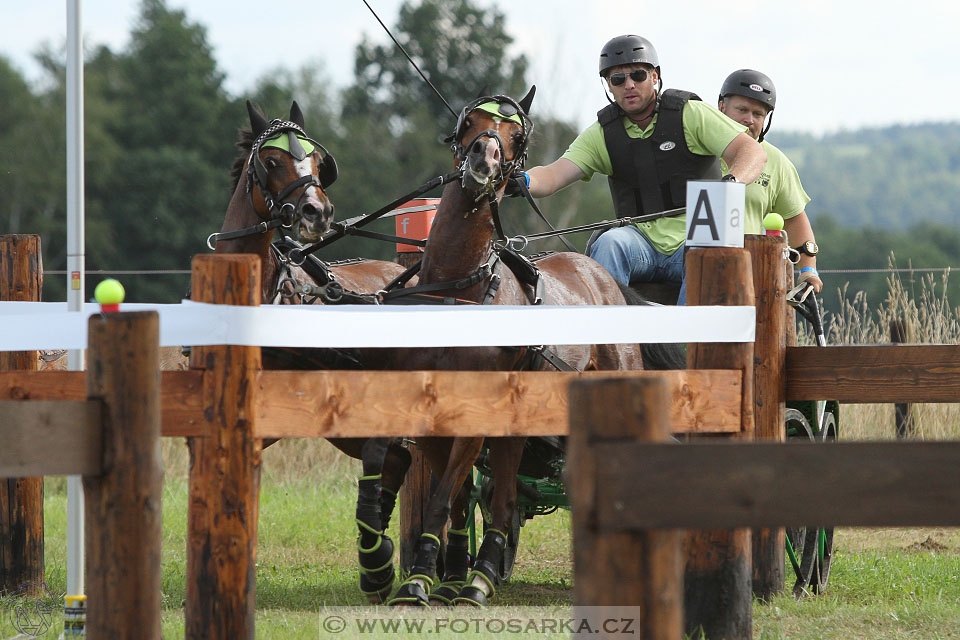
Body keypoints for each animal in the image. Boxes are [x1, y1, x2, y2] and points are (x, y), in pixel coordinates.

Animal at [384, 89, 652, 604]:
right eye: (470, 120)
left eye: (517, 134)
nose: (483, 160)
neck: (462, 285)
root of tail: (599, 273)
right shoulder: (432, 413)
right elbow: (453, 497)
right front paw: (438, 575)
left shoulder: (477, 413)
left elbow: (444, 497)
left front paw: (432, 577)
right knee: (504, 494)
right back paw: (483, 571)